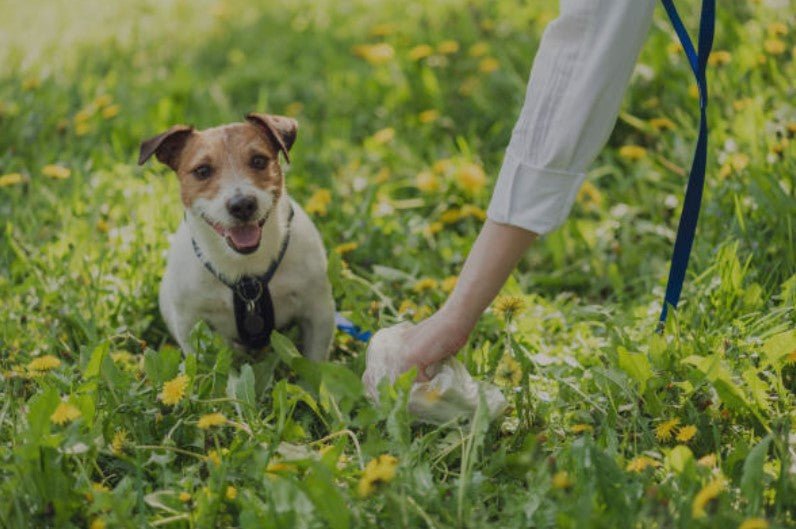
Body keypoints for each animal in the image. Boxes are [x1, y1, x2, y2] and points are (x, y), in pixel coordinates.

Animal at [138, 111, 334, 358]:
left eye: (258, 161)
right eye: (202, 171)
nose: (242, 205)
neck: (245, 271)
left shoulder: (318, 313)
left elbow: (315, 361)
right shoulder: (189, 325)